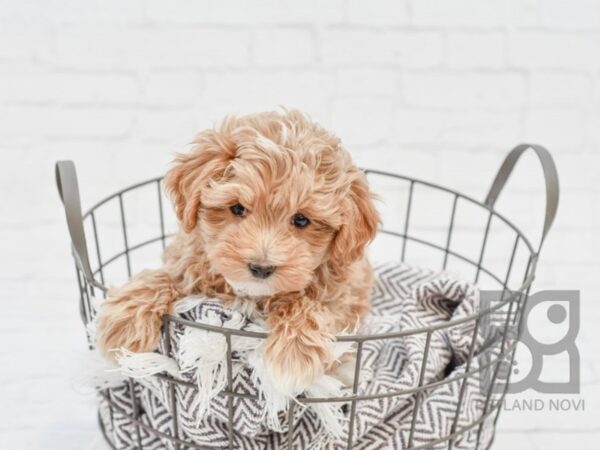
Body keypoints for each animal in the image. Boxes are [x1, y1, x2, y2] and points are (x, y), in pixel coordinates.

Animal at [98, 110, 380, 394]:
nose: (261, 268)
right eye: (237, 208)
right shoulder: (189, 263)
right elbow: (163, 276)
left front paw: (295, 354)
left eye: (301, 220)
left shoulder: (340, 296)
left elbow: (307, 304)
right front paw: (124, 324)